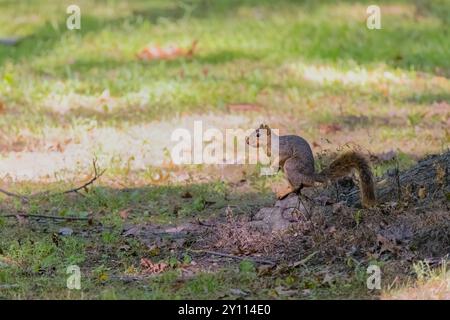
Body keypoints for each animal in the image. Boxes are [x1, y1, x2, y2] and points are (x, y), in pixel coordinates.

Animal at [246, 124, 376, 206]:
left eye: (258, 135)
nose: (247, 141)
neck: (268, 144)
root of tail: (311, 175)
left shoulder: (284, 148)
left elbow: (283, 155)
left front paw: (271, 167)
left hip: (292, 165)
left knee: (300, 184)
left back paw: (285, 191)